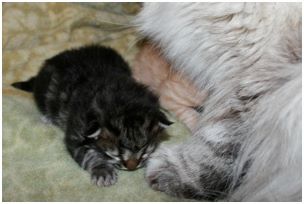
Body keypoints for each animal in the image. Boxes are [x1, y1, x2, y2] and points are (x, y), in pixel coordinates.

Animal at [11, 45, 171, 187]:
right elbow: (89, 155)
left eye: (144, 151)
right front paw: (102, 171)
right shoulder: (76, 135)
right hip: (44, 92)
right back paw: (47, 117)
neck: (122, 100)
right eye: (116, 155)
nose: (131, 167)